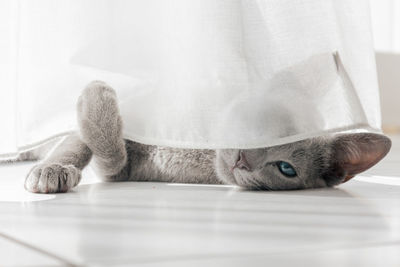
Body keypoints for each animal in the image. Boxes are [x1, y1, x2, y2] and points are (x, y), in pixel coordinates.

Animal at [22, 80, 390, 194]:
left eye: (286, 169)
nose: (244, 158)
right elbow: (78, 141)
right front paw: (51, 171)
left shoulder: (119, 173)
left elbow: (110, 155)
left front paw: (96, 94)